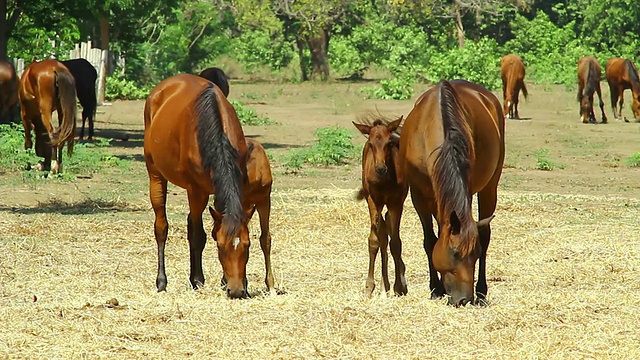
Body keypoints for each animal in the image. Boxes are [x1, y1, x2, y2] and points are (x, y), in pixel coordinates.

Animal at [145, 73, 252, 298]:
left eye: (247, 246)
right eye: (220, 247)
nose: (237, 290)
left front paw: (225, 280)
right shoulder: (196, 191)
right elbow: (198, 235)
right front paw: (197, 279)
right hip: (156, 175)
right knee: (162, 227)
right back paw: (162, 281)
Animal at [352, 115, 408, 298]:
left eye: (389, 143)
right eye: (370, 143)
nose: (380, 168)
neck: (385, 181)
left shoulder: (396, 202)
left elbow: (396, 243)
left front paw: (399, 286)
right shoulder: (373, 200)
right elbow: (374, 240)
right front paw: (369, 287)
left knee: (388, 228)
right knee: (382, 232)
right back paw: (384, 285)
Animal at [398, 79, 502, 306]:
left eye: (475, 254)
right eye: (454, 253)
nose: (464, 299)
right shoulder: (418, 194)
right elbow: (430, 240)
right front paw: (436, 289)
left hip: (490, 186)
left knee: (485, 233)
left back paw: (482, 291)